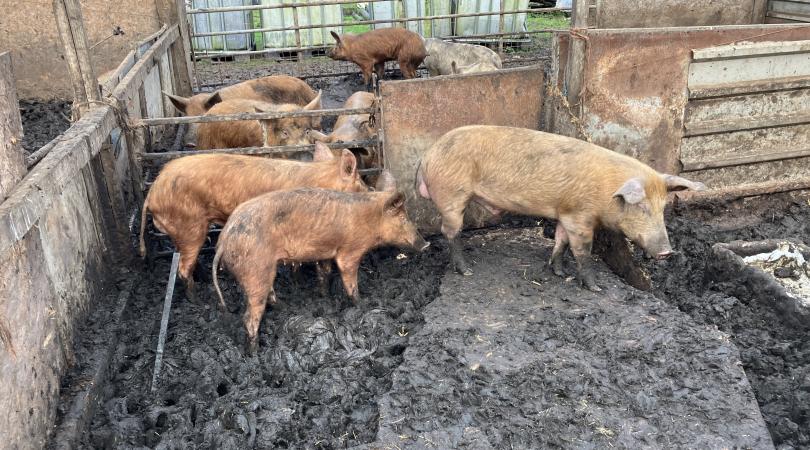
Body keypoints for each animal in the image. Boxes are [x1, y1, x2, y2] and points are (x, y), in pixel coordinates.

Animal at [138, 142, 368, 299]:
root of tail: (152, 192)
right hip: (188, 226)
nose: (371, 190)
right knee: (183, 269)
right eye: (360, 183)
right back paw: (197, 299)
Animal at [212, 186, 429, 354]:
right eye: (403, 218)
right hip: (255, 269)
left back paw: (286, 308)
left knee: (269, 294)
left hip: (263, 269)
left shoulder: (326, 253)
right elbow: (350, 279)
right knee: (250, 316)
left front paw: (324, 295)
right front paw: (362, 303)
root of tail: (223, 240)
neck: (371, 219)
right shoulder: (350, 251)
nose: (426, 244)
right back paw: (255, 353)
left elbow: (324, 273)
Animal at [416, 125, 707, 292]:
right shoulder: (580, 217)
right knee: (450, 232)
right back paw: (466, 270)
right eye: (642, 207)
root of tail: (428, 154)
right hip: (452, 195)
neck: (605, 191)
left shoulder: (565, 213)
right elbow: (583, 252)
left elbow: (560, 242)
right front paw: (595, 288)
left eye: (663, 208)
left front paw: (558, 272)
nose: (666, 251)